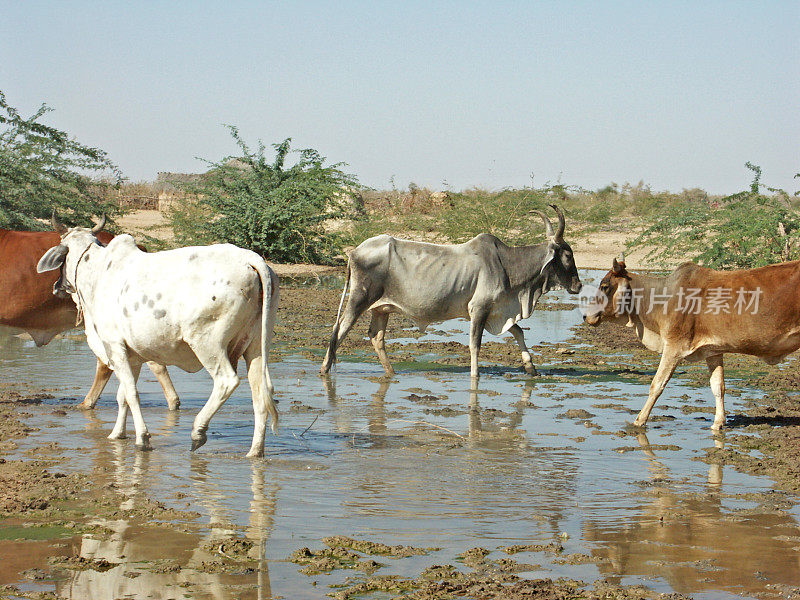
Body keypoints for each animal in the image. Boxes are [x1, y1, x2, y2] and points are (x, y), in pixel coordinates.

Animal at [38, 214, 282, 454]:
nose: (56, 286)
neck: (97, 274)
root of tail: (250, 259)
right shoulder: (133, 356)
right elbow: (122, 396)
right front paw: (117, 434)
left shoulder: (114, 346)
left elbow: (131, 393)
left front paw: (142, 438)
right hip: (256, 346)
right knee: (262, 392)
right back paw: (255, 451)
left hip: (207, 343)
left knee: (226, 381)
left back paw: (198, 431)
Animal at [318, 204, 580, 378]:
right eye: (568, 255)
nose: (578, 285)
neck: (507, 264)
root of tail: (354, 251)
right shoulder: (479, 309)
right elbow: (475, 345)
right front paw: (475, 376)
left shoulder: (496, 311)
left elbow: (518, 332)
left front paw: (531, 367)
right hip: (359, 299)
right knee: (339, 331)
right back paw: (324, 371)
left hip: (382, 308)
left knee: (376, 337)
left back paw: (391, 373)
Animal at [580, 255, 800, 428]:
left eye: (604, 286)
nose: (585, 316)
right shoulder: (714, 350)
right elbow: (718, 386)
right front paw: (718, 423)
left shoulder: (674, 347)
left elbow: (657, 384)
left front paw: (639, 421)